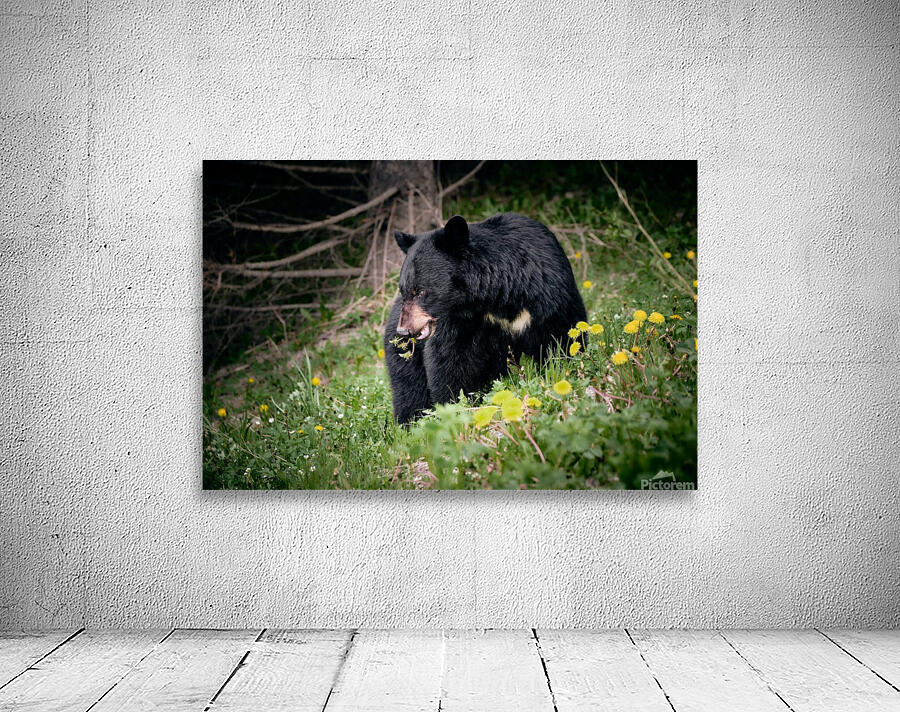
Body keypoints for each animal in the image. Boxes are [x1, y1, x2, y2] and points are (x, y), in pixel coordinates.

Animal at [384, 213, 587, 424]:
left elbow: (561, 338)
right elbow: (451, 362)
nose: (404, 330)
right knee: (409, 388)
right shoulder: (461, 321)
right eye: (404, 290)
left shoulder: (549, 298)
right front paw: (457, 408)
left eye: (421, 292)